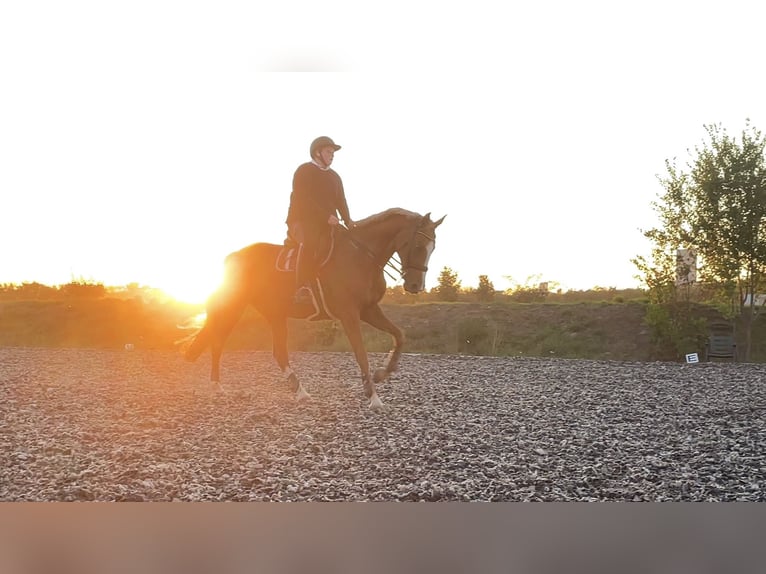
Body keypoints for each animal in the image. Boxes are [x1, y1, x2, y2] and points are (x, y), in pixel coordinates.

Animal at [183, 209, 448, 412]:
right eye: (418, 245)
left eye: (433, 247)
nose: (415, 286)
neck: (361, 256)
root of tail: (233, 256)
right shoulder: (349, 314)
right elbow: (361, 354)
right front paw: (374, 398)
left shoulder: (369, 310)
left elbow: (400, 335)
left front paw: (383, 373)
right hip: (234, 307)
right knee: (218, 341)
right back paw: (218, 387)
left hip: (274, 314)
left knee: (277, 352)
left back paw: (298, 391)